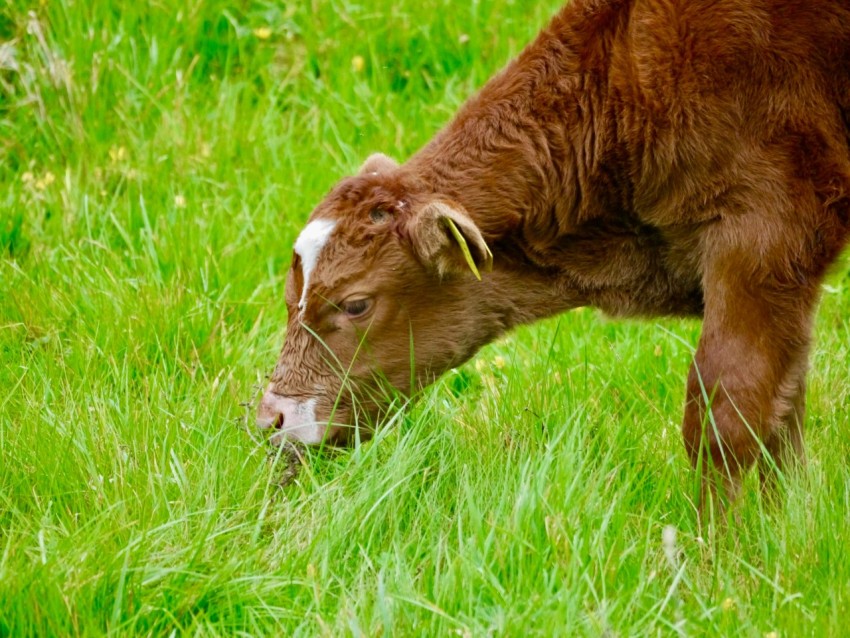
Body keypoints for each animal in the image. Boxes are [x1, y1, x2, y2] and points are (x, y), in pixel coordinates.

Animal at [257, 0, 850, 506]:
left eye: (356, 303)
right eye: (289, 296)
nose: (270, 418)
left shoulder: (764, 235)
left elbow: (725, 415)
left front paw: (723, 556)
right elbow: (784, 410)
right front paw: (786, 524)